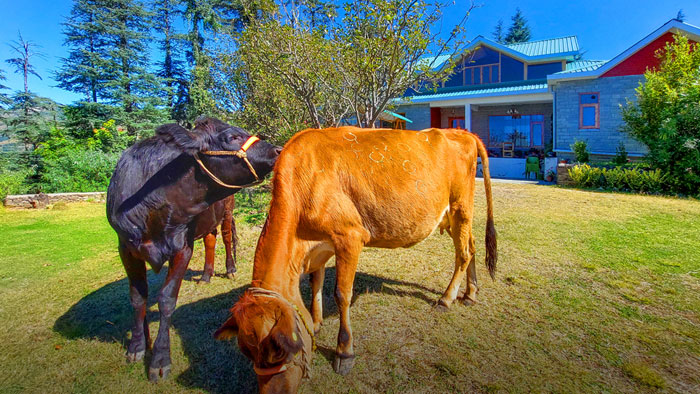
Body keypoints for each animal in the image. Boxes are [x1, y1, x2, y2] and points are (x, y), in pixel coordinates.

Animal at [105, 117, 280, 382]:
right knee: (210, 240)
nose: (277, 150)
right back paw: (206, 274)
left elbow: (167, 298)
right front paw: (137, 344)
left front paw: (159, 359)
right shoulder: (126, 248)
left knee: (226, 238)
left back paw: (229, 269)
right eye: (231, 137)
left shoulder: (182, 247)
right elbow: (138, 296)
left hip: (227, 210)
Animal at [216, 127, 494, 392]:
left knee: (463, 253)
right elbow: (315, 284)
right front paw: (316, 323)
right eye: (247, 352)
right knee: (471, 248)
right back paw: (470, 294)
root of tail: (461, 132)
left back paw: (447, 299)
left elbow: (342, 294)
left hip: (460, 207)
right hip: (457, 216)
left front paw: (344, 352)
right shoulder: (320, 247)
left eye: (280, 350)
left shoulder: (349, 237)